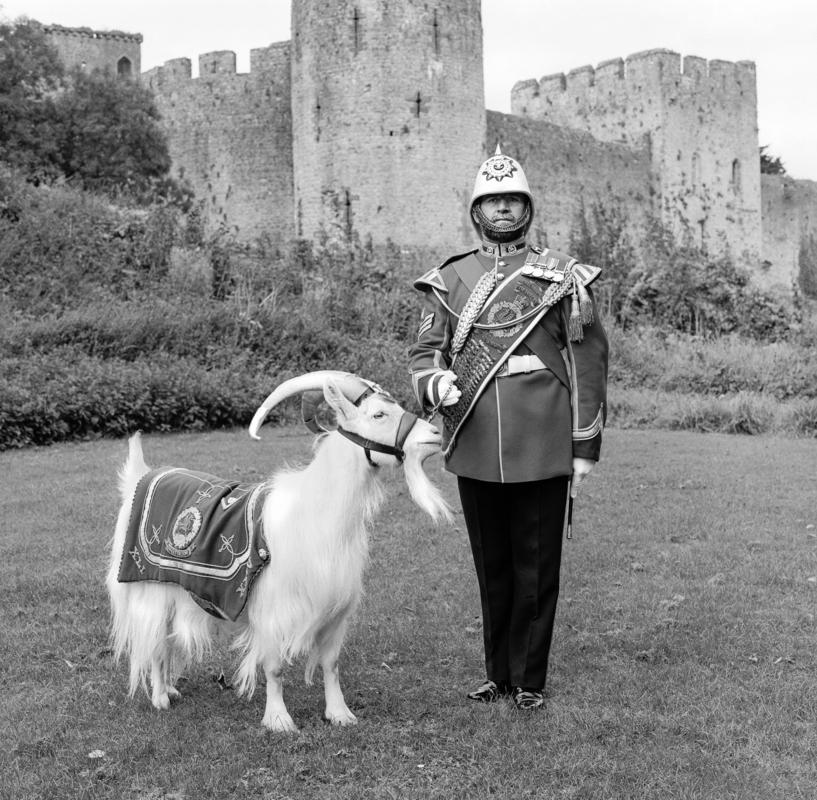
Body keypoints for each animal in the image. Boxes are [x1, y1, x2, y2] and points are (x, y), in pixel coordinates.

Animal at [104, 368, 450, 732]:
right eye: (379, 414)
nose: (434, 434)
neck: (314, 511)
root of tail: (141, 475)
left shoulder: (334, 609)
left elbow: (331, 663)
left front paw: (339, 714)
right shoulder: (272, 611)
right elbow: (274, 667)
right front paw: (279, 720)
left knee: (168, 640)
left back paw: (171, 688)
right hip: (150, 588)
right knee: (155, 643)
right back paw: (160, 697)